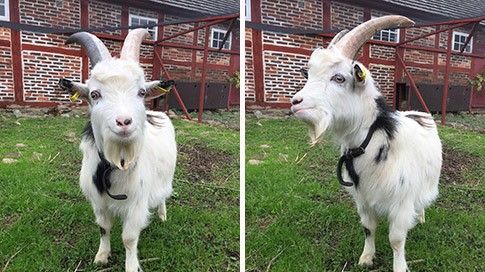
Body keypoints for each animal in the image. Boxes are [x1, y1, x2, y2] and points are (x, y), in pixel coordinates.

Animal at [58, 28, 176, 270]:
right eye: (94, 94)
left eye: (141, 92)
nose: (124, 122)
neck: (115, 163)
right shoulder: (98, 202)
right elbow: (104, 227)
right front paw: (102, 256)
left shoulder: (137, 204)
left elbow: (129, 238)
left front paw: (131, 266)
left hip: (166, 178)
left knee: (163, 195)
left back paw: (162, 215)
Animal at [292, 15, 442, 270]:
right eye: (309, 75)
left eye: (339, 77)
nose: (295, 103)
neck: (373, 142)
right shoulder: (362, 199)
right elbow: (368, 228)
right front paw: (366, 258)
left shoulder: (401, 203)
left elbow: (396, 239)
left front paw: (399, 266)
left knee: (423, 200)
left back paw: (420, 216)